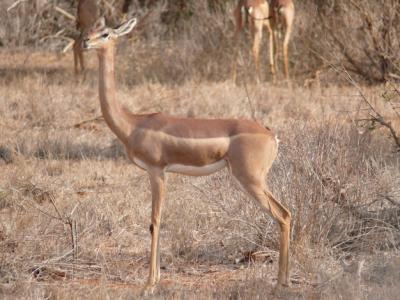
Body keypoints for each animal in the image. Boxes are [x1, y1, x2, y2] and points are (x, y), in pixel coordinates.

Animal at [81, 17, 292, 292]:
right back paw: (285, 281)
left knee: (283, 215)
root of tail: (270, 134)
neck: (133, 123)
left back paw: (279, 285)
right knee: (286, 215)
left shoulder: (156, 172)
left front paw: (149, 284)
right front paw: (155, 279)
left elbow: (155, 221)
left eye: (105, 33)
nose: (85, 42)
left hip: (251, 180)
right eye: (89, 30)